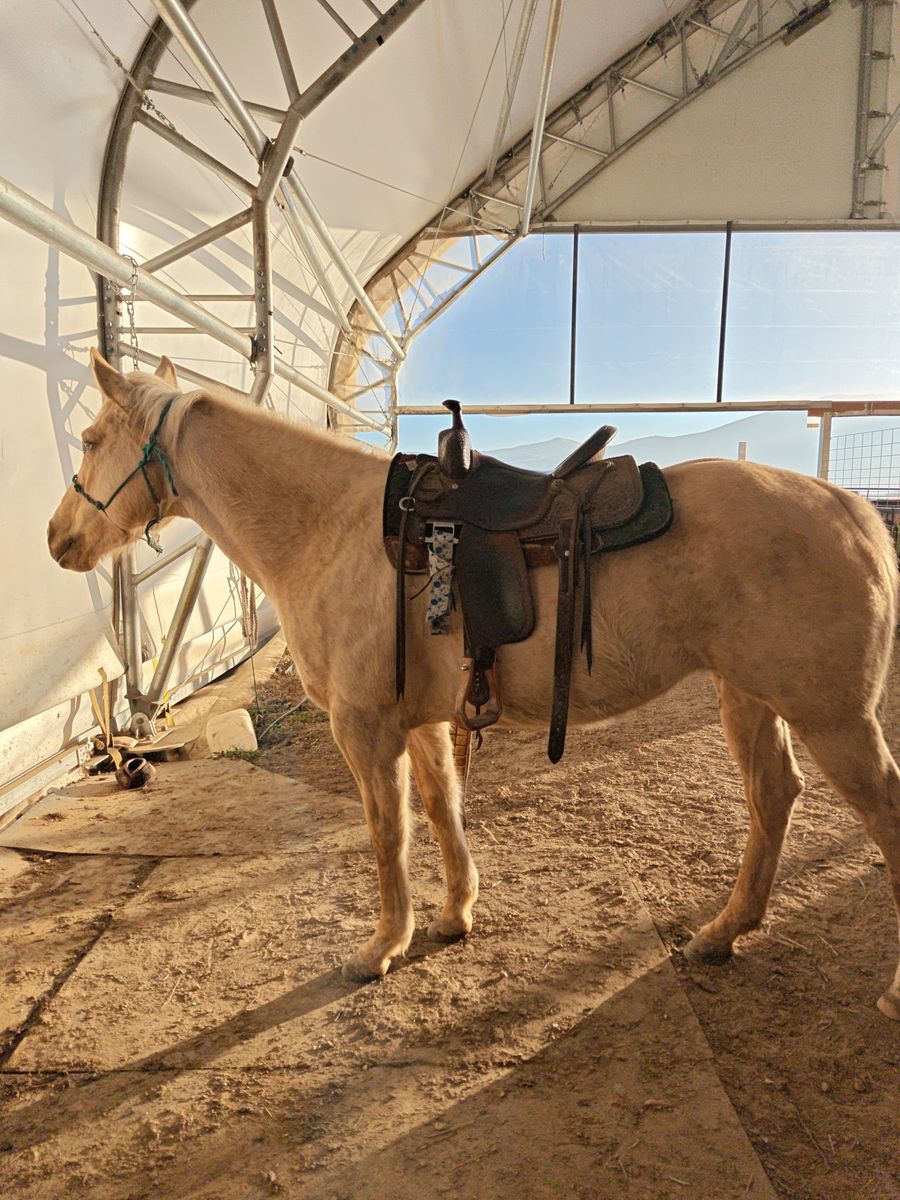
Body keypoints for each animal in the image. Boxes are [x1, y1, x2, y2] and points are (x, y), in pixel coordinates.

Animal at [47, 349, 900, 1021]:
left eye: (89, 439)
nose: (58, 539)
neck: (332, 529)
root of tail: (853, 513)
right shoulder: (423, 723)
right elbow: (441, 809)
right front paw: (455, 914)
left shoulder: (366, 730)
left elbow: (387, 834)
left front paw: (382, 946)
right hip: (749, 698)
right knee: (773, 796)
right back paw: (724, 932)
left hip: (832, 718)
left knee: (877, 812)